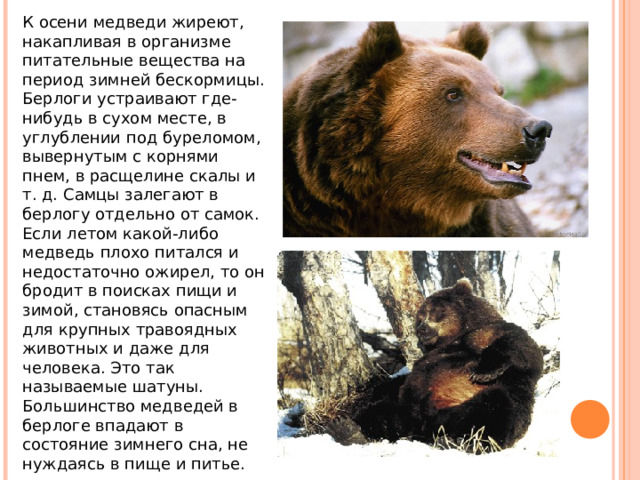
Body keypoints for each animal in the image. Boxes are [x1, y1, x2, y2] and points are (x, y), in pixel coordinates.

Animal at [328, 278, 544, 450]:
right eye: (420, 317)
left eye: (433, 312)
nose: (422, 329)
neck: (455, 336)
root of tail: (423, 430)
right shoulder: (424, 363)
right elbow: (397, 382)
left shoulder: (490, 332)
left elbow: (522, 347)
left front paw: (484, 371)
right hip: (407, 411)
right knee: (380, 412)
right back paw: (348, 429)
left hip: (464, 408)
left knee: (493, 406)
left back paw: (459, 441)